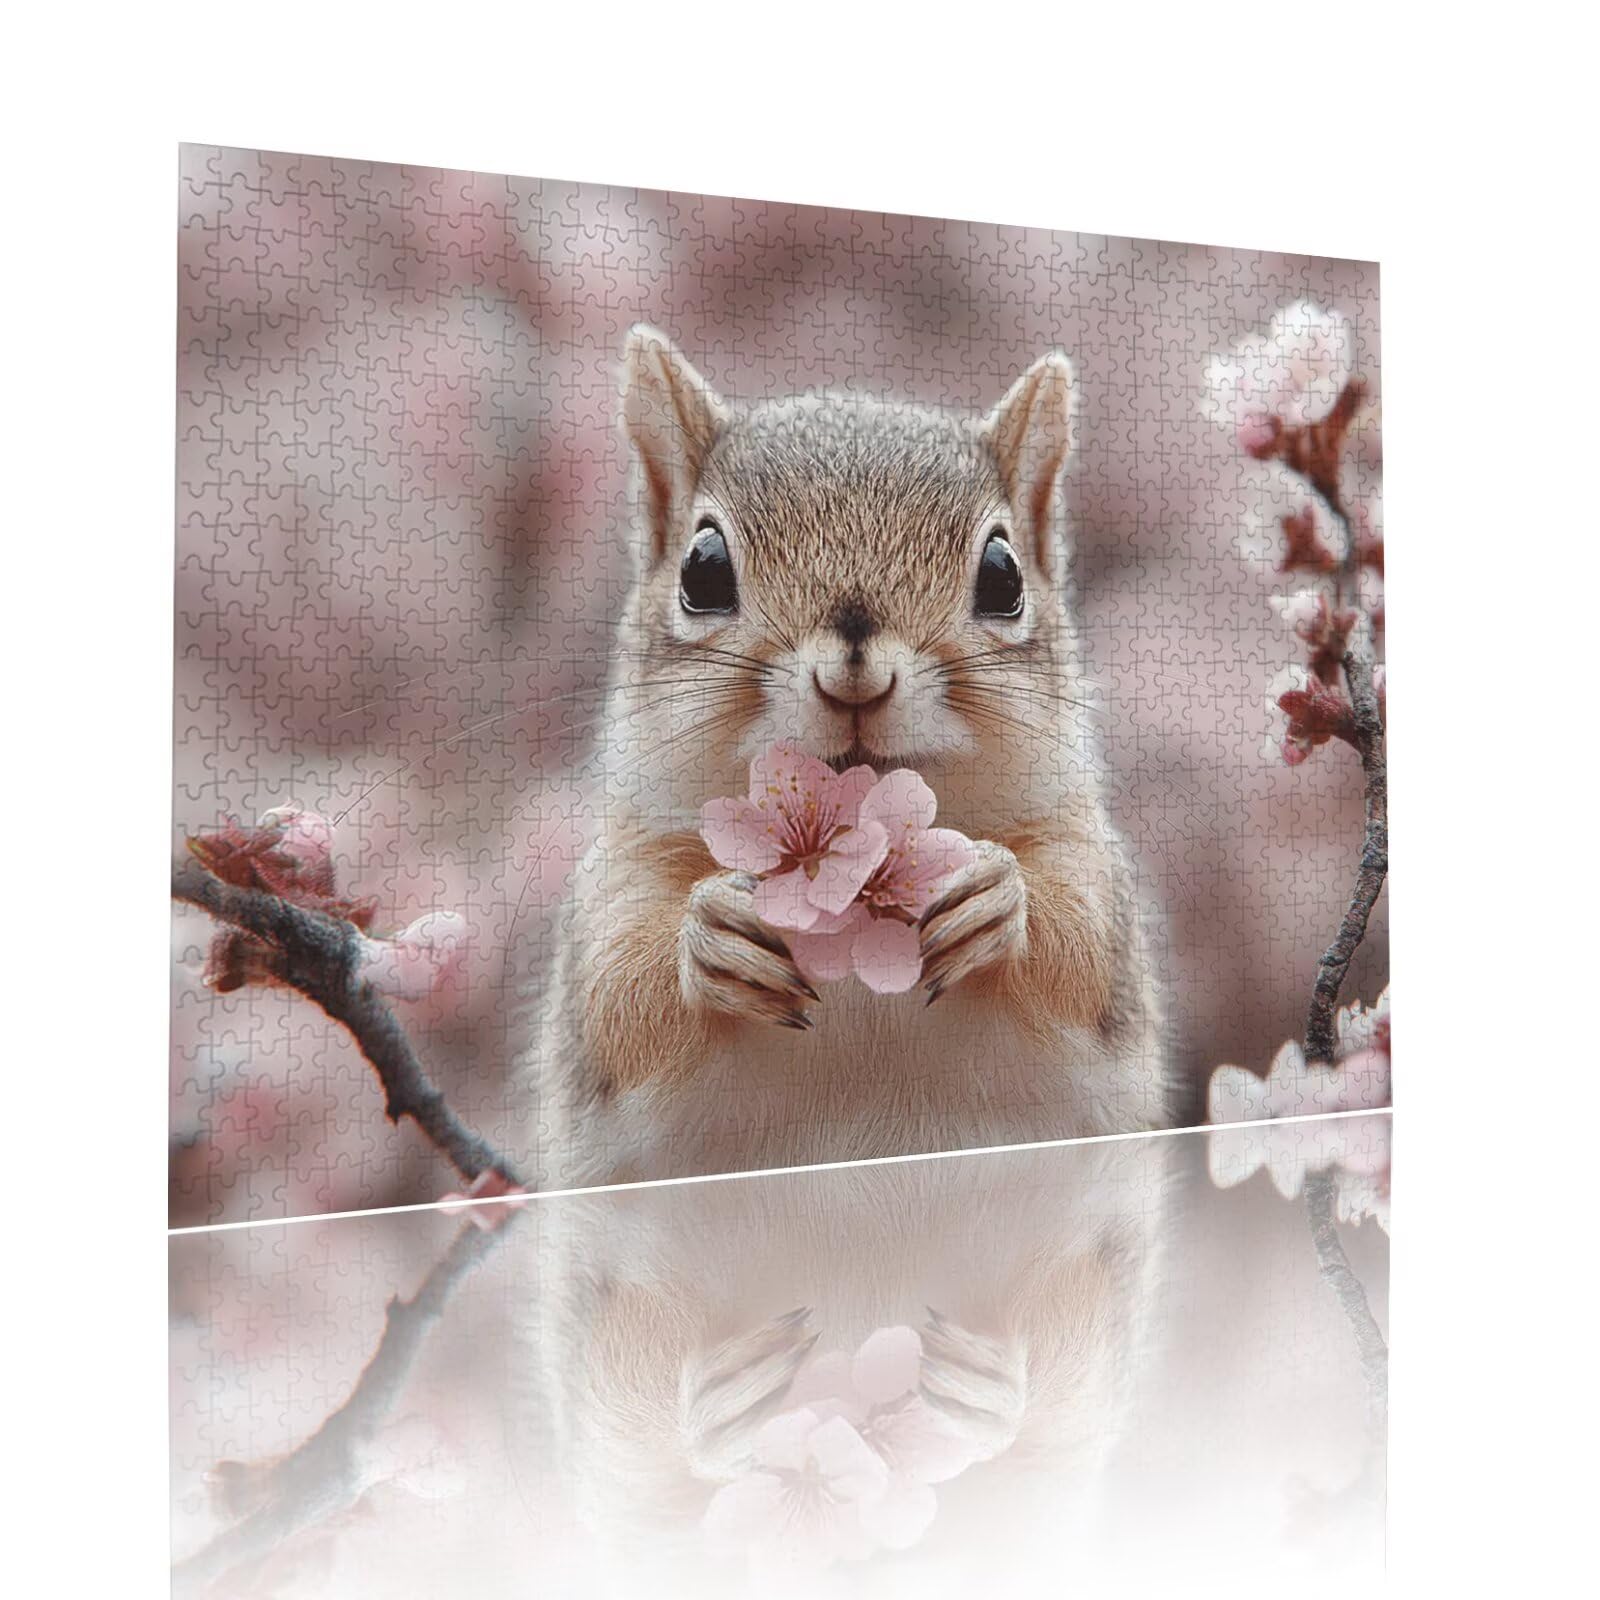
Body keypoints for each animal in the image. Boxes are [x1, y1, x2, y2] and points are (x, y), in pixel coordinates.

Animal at [513, 326, 1168, 1187]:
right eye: (702, 569)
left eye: (1004, 576)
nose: (855, 670)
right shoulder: (617, 883)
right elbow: (617, 1004)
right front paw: (710, 934)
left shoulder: (1082, 852)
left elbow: (1086, 954)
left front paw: (999, 895)